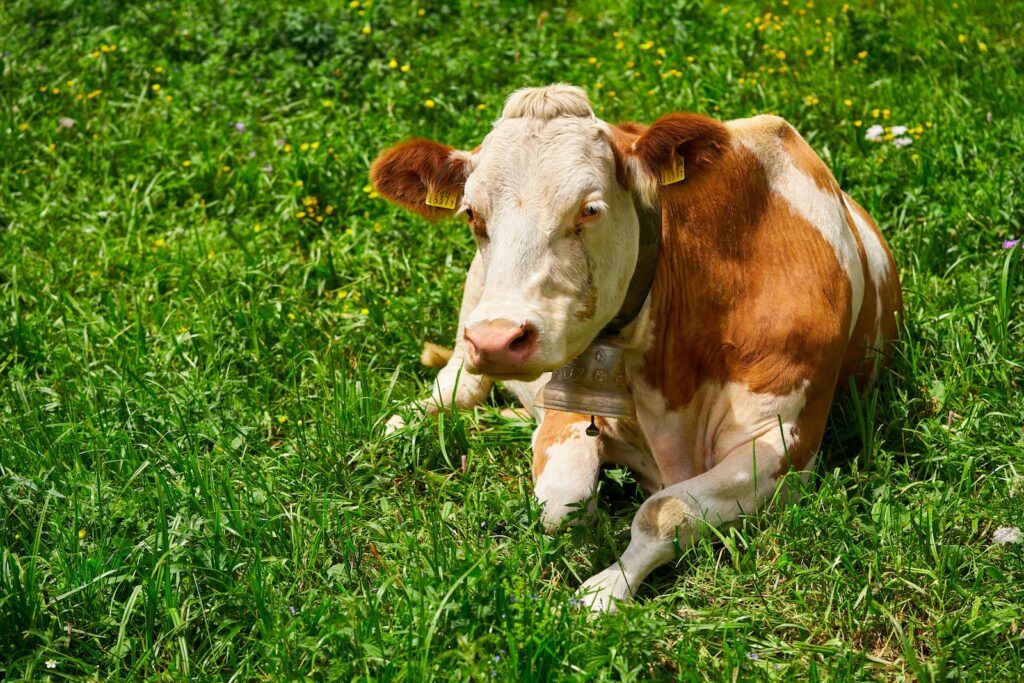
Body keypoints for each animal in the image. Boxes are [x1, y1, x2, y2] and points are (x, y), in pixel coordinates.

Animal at [370, 84, 902, 612]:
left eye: (589, 208)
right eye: (472, 214)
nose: (498, 340)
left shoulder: (785, 445)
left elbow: (663, 511)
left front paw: (603, 591)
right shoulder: (569, 399)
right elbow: (561, 503)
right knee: (457, 386)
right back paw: (401, 424)